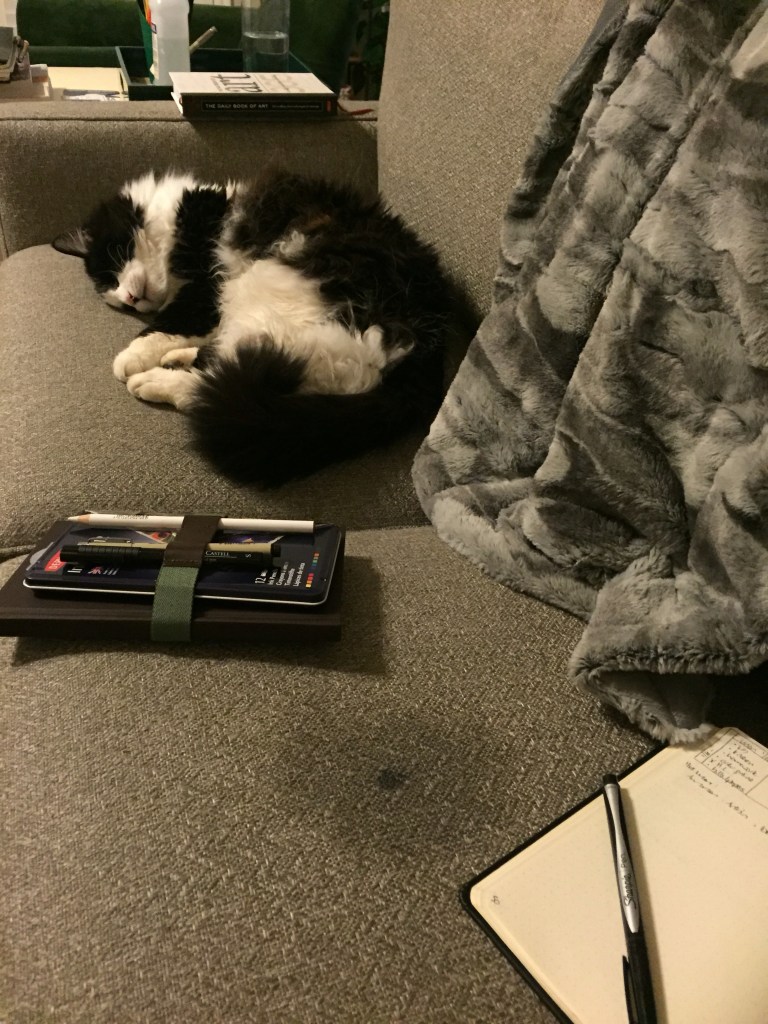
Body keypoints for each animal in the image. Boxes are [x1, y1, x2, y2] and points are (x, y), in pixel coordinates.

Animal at [54, 169, 450, 484]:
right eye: (115, 295)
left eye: (115, 261)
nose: (131, 298)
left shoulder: (206, 284)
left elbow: (170, 323)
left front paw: (131, 357)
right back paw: (177, 361)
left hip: (269, 286)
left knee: (217, 385)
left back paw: (155, 380)